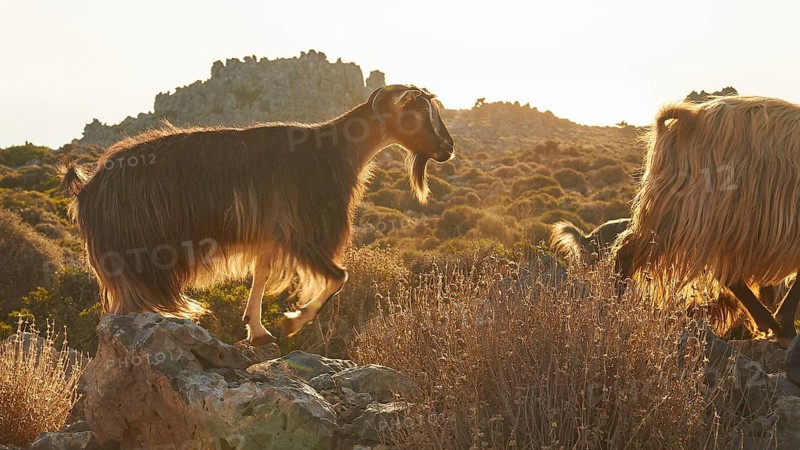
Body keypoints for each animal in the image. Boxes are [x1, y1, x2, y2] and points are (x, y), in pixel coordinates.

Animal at [61, 84, 456, 344]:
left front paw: (258, 329)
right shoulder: (301, 231)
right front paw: (292, 322)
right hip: (134, 256)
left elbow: (262, 275)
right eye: (418, 112)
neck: (335, 151)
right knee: (123, 308)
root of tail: (88, 186)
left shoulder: (270, 234)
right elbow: (338, 277)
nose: (448, 148)